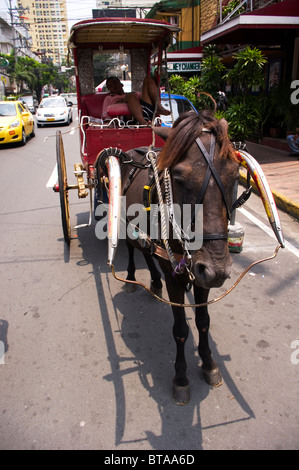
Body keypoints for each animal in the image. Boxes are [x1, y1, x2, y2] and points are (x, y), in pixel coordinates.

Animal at [118, 111, 240, 404]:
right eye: (180, 178)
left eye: (235, 175)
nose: (218, 270)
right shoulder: (177, 276)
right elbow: (181, 330)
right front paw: (181, 378)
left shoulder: (201, 275)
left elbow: (203, 322)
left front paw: (209, 364)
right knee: (132, 248)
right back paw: (131, 277)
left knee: (146, 251)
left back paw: (153, 281)